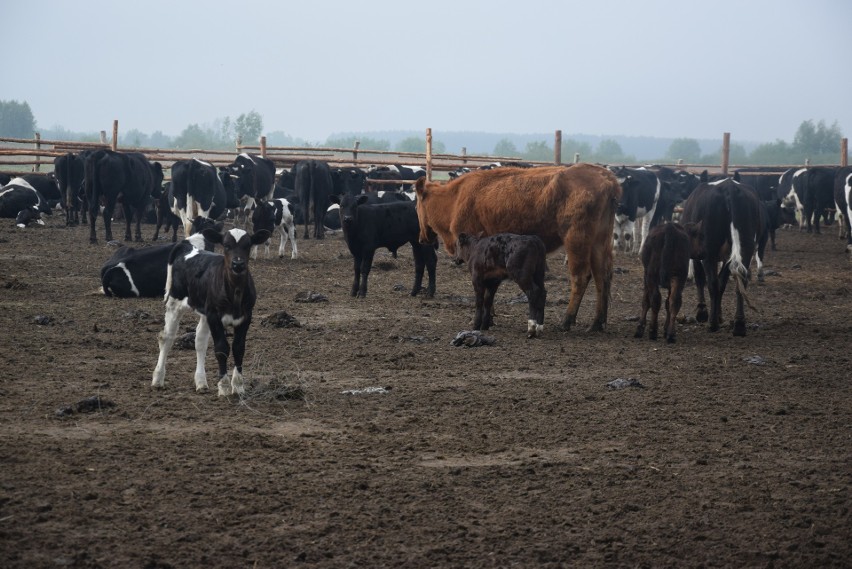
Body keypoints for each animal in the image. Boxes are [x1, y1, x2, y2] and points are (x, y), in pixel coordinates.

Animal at [152, 225, 270, 394]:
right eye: (226, 245)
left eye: (248, 245)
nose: (238, 264)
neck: (235, 293)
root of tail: (187, 247)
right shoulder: (214, 316)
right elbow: (221, 348)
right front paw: (224, 387)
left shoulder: (246, 317)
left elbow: (238, 348)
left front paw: (238, 386)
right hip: (175, 302)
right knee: (166, 337)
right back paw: (158, 379)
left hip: (205, 312)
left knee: (200, 340)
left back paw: (201, 382)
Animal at [414, 163, 620, 332]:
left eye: (417, 205)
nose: (422, 238)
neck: (456, 197)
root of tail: (608, 178)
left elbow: (484, 296)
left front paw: (483, 320)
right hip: (598, 243)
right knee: (602, 277)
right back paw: (597, 323)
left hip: (576, 240)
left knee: (581, 277)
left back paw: (566, 321)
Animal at [684, 176, 764, 338]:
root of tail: (730, 188)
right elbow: (723, 282)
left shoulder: (697, 253)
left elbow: (701, 279)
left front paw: (703, 312)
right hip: (746, 246)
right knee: (740, 278)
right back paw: (739, 324)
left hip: (709, 250)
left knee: (712, 282)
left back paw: (712, 323)